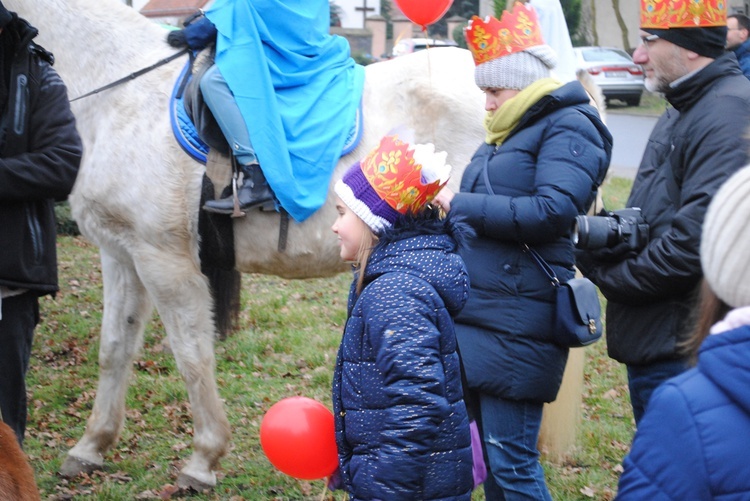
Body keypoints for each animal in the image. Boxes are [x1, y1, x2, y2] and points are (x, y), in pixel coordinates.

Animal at [7, 0, 488, 488]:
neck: (121, 92)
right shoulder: (121, 253)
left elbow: (192, 356)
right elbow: (114, 348)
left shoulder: (165, 260)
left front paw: (203, 459)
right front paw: (91, 446)